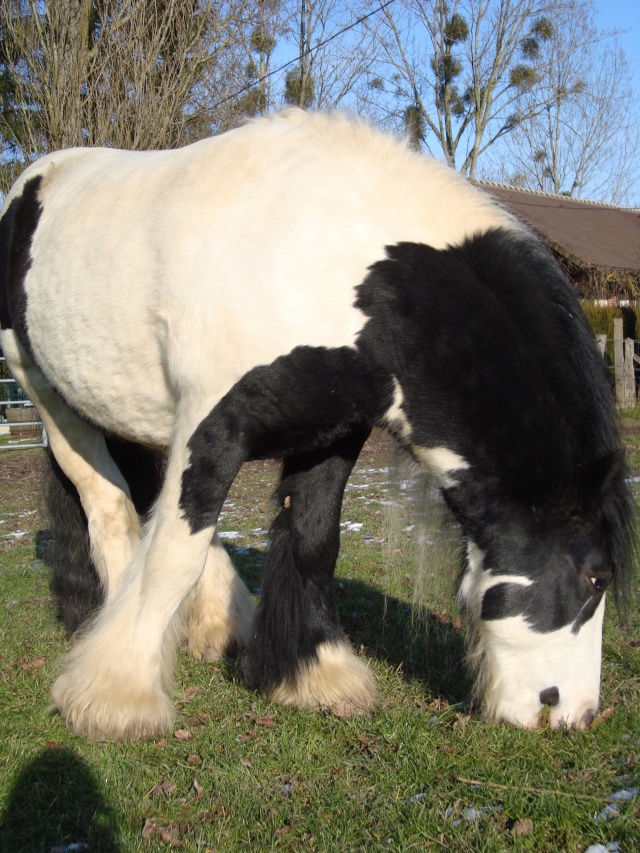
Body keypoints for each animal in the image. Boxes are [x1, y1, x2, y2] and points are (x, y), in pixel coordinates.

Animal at [0, 110, 632, 740]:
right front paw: (116, 697)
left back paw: (220, 625)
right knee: (107, 503)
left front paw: (315, 675)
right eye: (597, 578)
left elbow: (311, 542)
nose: (576, 714)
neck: (333, 268)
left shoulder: (330, 437)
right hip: (49, 394)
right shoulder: (213, 428)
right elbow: (172, 555)